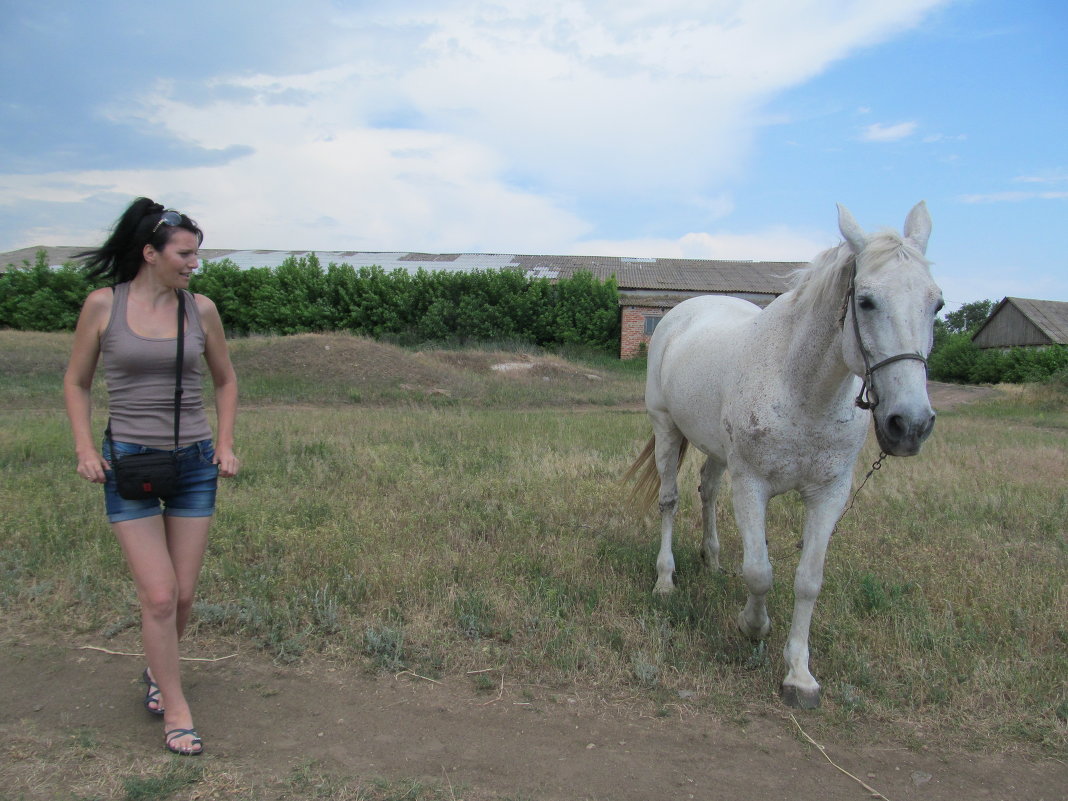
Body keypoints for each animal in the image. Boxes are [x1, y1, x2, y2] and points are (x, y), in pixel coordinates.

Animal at [623, 201, 944, 709]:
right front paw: (752, 625)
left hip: (717, 449)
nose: (909, 424)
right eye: (866, 301)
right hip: (666, 428)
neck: (802, 388)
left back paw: (712, 561)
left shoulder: (829, 493)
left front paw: (799, 675)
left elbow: (808, 580)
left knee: (708, 491)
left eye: (937, 304)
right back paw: (665, 581)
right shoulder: (752, 484)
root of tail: (684, 311)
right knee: (670, 501)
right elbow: (759, 572)